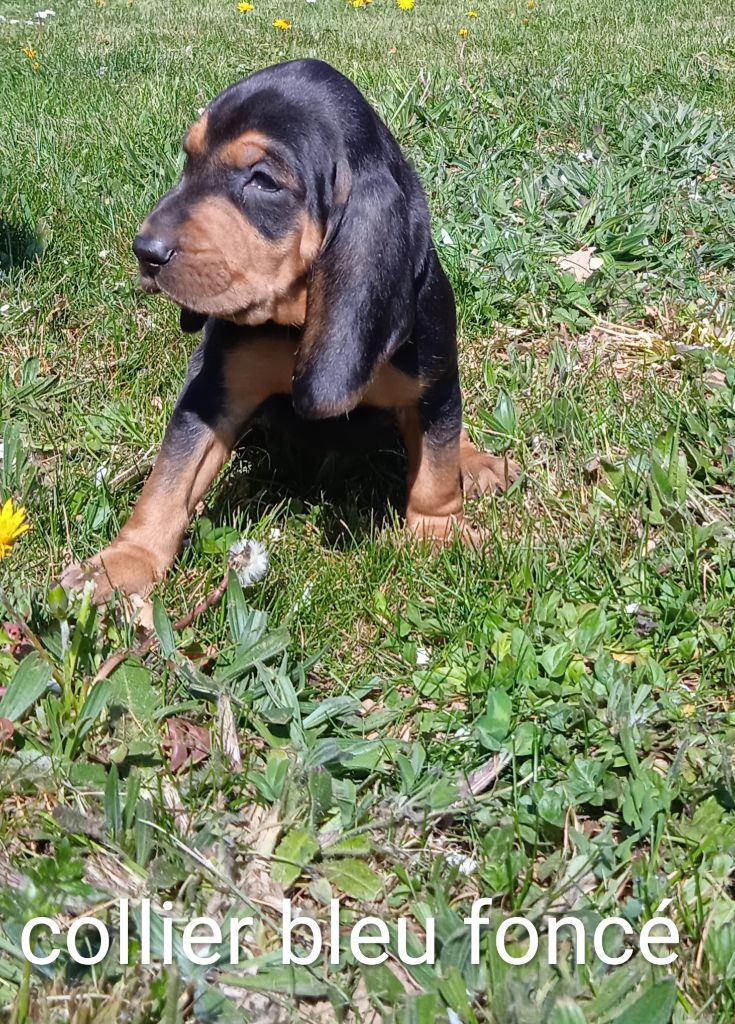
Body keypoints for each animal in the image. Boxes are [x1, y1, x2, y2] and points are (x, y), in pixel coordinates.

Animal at [64, 58, 524, 598]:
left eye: (264, 181)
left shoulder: (433, 384)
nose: (146, 251)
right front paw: (123, 563)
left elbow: (435, 465)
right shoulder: (214, 392)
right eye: (189, 159)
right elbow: (170, 478)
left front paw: (438, 533)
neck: (297, 319)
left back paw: (476, 462)